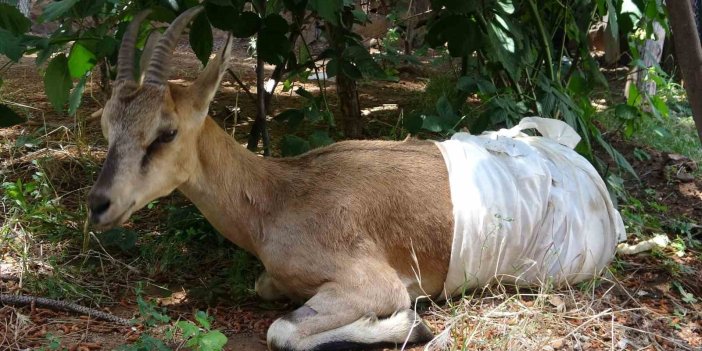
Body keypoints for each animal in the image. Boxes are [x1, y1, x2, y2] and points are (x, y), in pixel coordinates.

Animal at [89, 6, 628, 350]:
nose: (100, 204)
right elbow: (266, 290)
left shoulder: (372, 281)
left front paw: (412, 326)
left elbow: (283, 332)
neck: (276, 198)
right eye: (107, 124)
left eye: (166, 132)